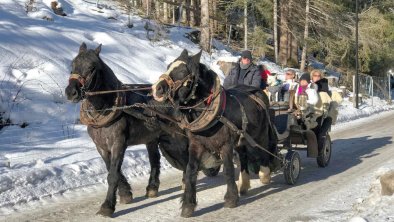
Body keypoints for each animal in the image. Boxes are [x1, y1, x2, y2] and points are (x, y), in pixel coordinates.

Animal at [63, 43, 209, 217]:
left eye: (92, 67)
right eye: (73, 64)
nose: (71, 92)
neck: (107, 107)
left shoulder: (119, 143)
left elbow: (113, 174)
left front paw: (107, 206)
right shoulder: (101, 146)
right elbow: (111, 169)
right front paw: (125, 193)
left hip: (176, 140)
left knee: (187, 160)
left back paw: (186, 183)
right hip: (154, 139)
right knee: (155, 160)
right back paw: (152, 188)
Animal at [152, 49, 278, 218]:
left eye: (182, 71)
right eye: (168, 66)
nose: (156, 89)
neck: (211, 111)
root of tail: (258, 93)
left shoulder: (225, 145)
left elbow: (228, 170)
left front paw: (231, 199)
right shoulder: (196, 145)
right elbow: (190, 170)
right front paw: (188, 205)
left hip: (260, 134)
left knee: (263, 151)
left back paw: (265, 175)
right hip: (241, 139)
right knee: (244, 157)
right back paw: (244, 185)